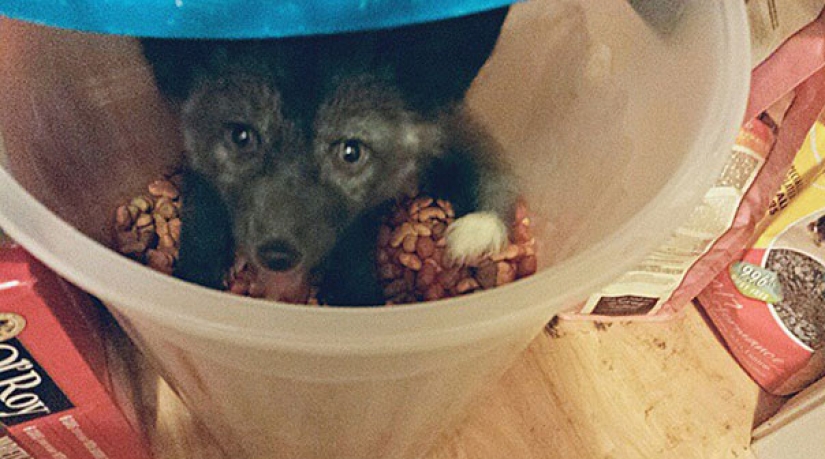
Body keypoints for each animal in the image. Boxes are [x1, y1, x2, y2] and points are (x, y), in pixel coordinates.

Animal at [141, 7, 519, 306]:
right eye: (241, 136)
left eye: (351, 152)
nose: (277, 256)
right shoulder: (200, 171)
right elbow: (202, 222)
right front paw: (196, 276)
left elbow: (354, 239)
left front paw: (355, 294)